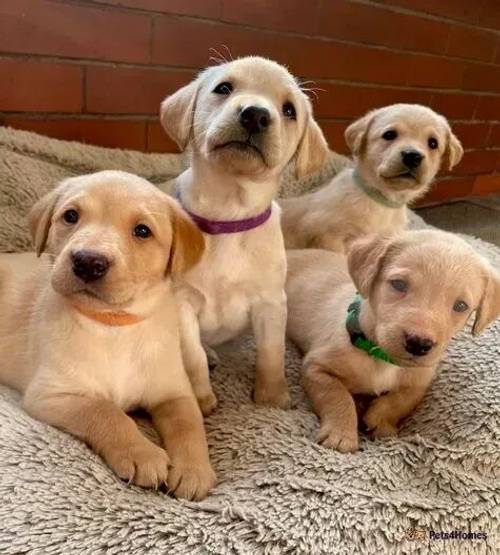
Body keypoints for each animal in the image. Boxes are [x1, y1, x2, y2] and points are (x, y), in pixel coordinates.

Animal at [0, 170, 216, 500]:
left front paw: (193, 469)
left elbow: (189, 425)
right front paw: (142, 453)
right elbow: (106, 412)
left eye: (142, 231)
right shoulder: (50, 394)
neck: (112, 324)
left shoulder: (174, 391)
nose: (88, 261)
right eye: (71, 216)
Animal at [160, 56, 328, 414]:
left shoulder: (271, 303)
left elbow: (271, 354)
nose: (256, 114)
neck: (229, 215)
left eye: (289, 110)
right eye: (224, 88)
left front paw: (272, 399)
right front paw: (201, 400)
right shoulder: (181, 304)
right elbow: (192, 357)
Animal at [286, 230, 500, 452]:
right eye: (399, 284)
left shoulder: (419, 383)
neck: (383, 359)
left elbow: (400, 401)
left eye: (460, 306)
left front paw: (380, 420)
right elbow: (337, 396)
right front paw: (341, 434)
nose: (418, 344)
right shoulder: (315, 367)